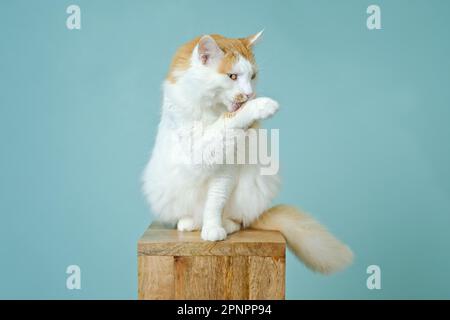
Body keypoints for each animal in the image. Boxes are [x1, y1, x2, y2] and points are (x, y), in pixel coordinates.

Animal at [142, 31, 354, 274]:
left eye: (252, 76)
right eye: (232, 76)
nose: (250, 94)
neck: (214, 110)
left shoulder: (227, 169)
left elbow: (215, 201)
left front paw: (213, 228)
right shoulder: (194, 148)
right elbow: (229, 121)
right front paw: (260, 106)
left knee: (238, 219)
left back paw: (223, 224)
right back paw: (190, 223)